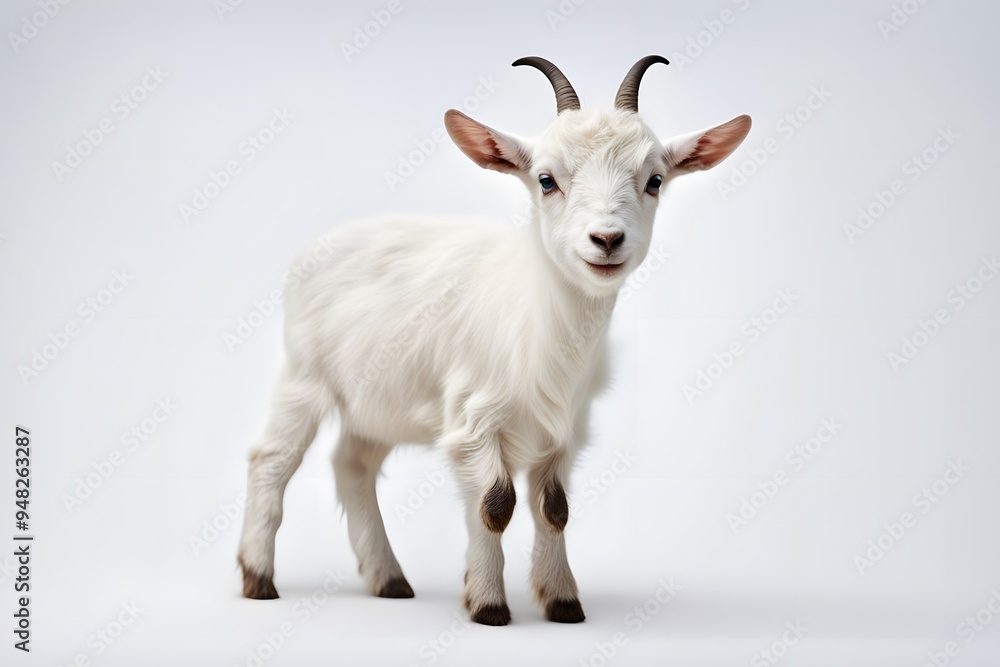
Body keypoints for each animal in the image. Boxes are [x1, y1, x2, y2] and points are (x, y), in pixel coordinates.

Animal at [237, 56, 751, 625]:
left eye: (655, 180)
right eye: (546, 180)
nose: (607, 239)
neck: (538, 324)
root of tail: (322, 245)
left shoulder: (565, 426)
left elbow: (555, 509)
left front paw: (563, 602)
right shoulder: (472, 420)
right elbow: (495, 504)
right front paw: (487, 603)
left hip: (379, 399)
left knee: (353, 465)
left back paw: (388, 578)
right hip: (305, 375)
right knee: (271, 459)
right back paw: (259, 578)